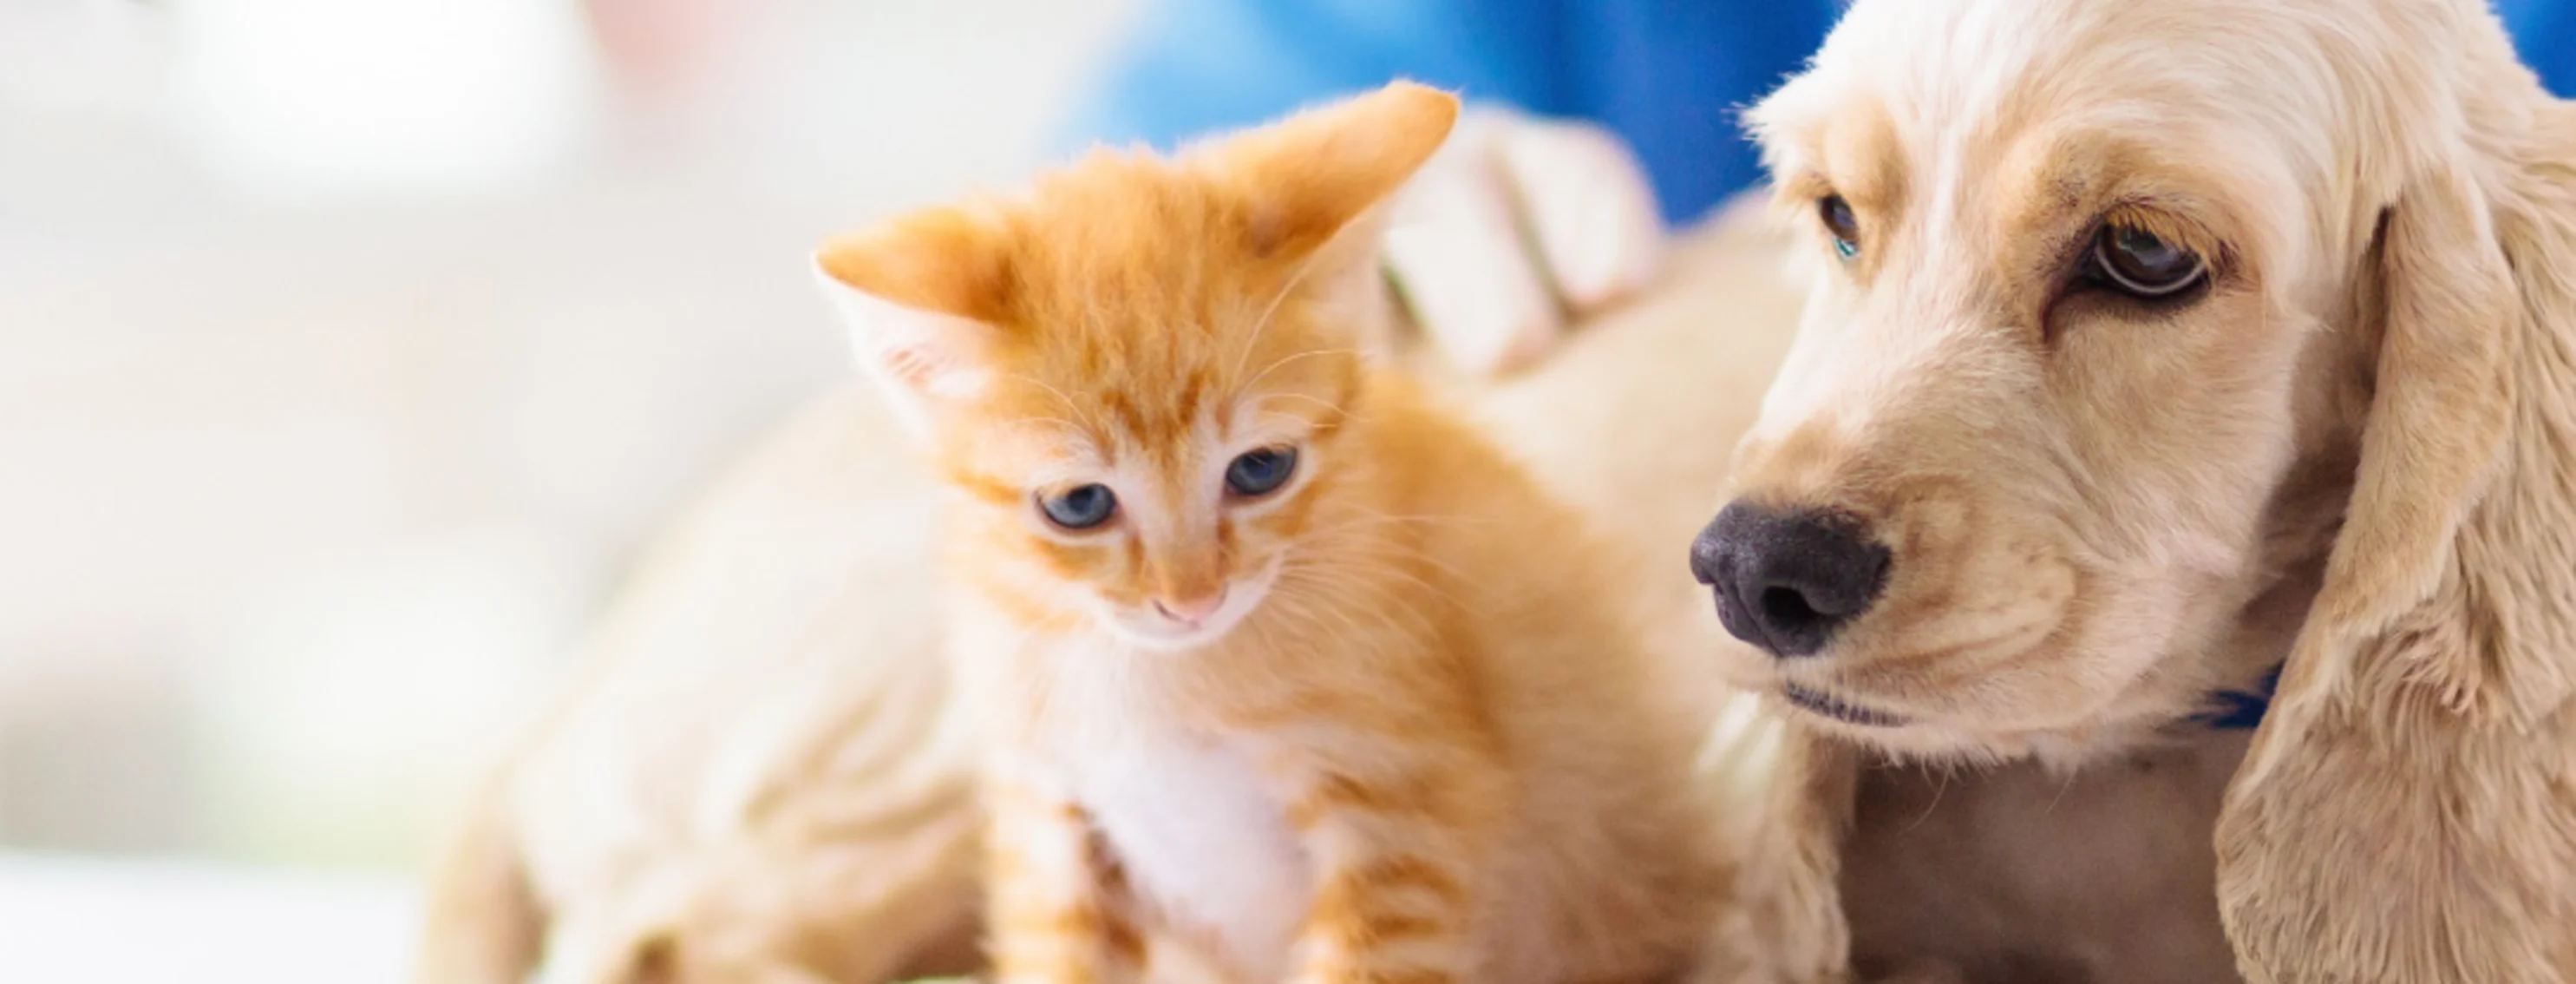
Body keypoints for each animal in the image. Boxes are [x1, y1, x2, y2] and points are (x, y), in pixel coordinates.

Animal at [814, 84, 1720, 984]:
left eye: (1260, 469)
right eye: (1078, 506)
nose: (1192, 599)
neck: (1150, 675)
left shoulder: (1404, 818)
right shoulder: (1049, 824)